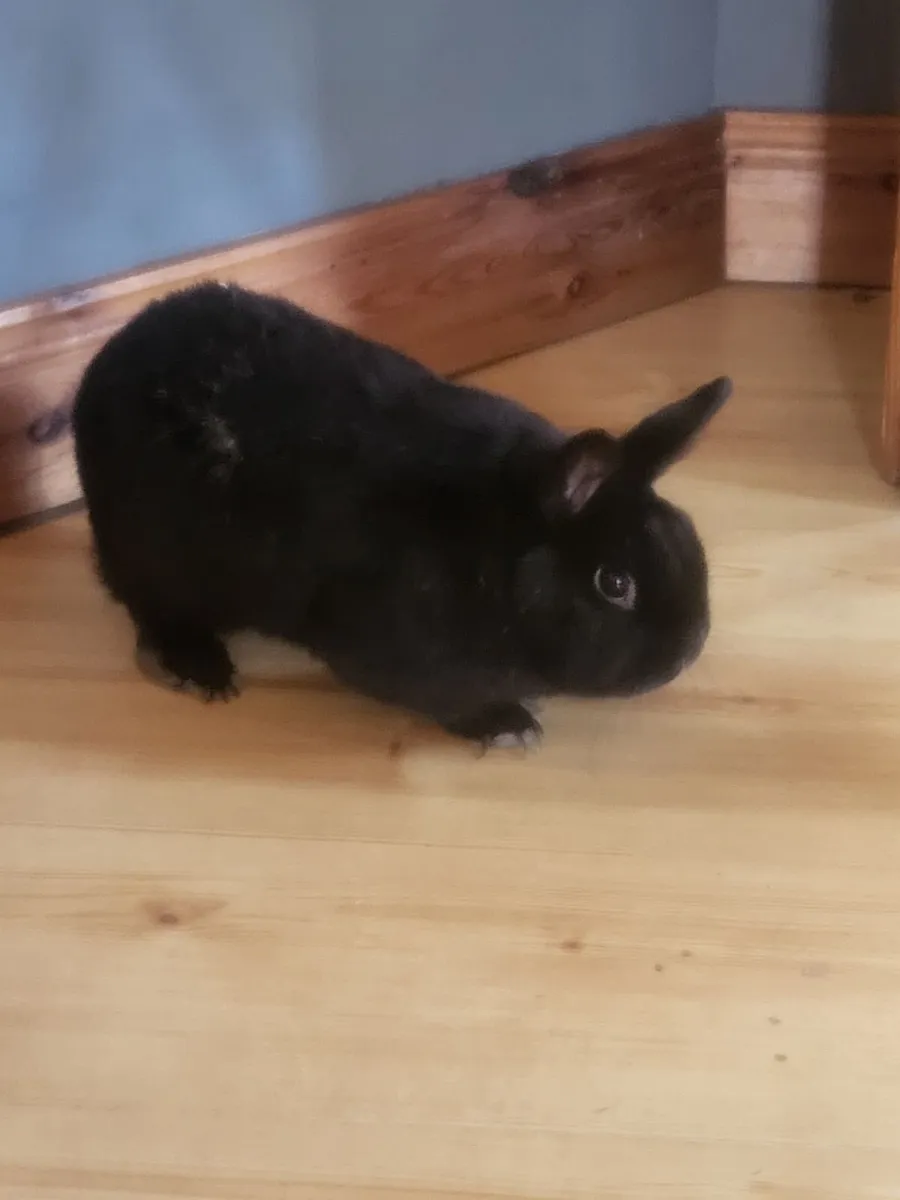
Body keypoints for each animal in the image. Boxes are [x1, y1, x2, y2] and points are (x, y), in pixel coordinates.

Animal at [71, 280, 731, 750]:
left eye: (687, 535)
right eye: (614, 584)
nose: (688, 650)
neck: (494, 549)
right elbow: (443, 700)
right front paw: (507, 724)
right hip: (157, 560)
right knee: (152, 609)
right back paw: (202, 670)